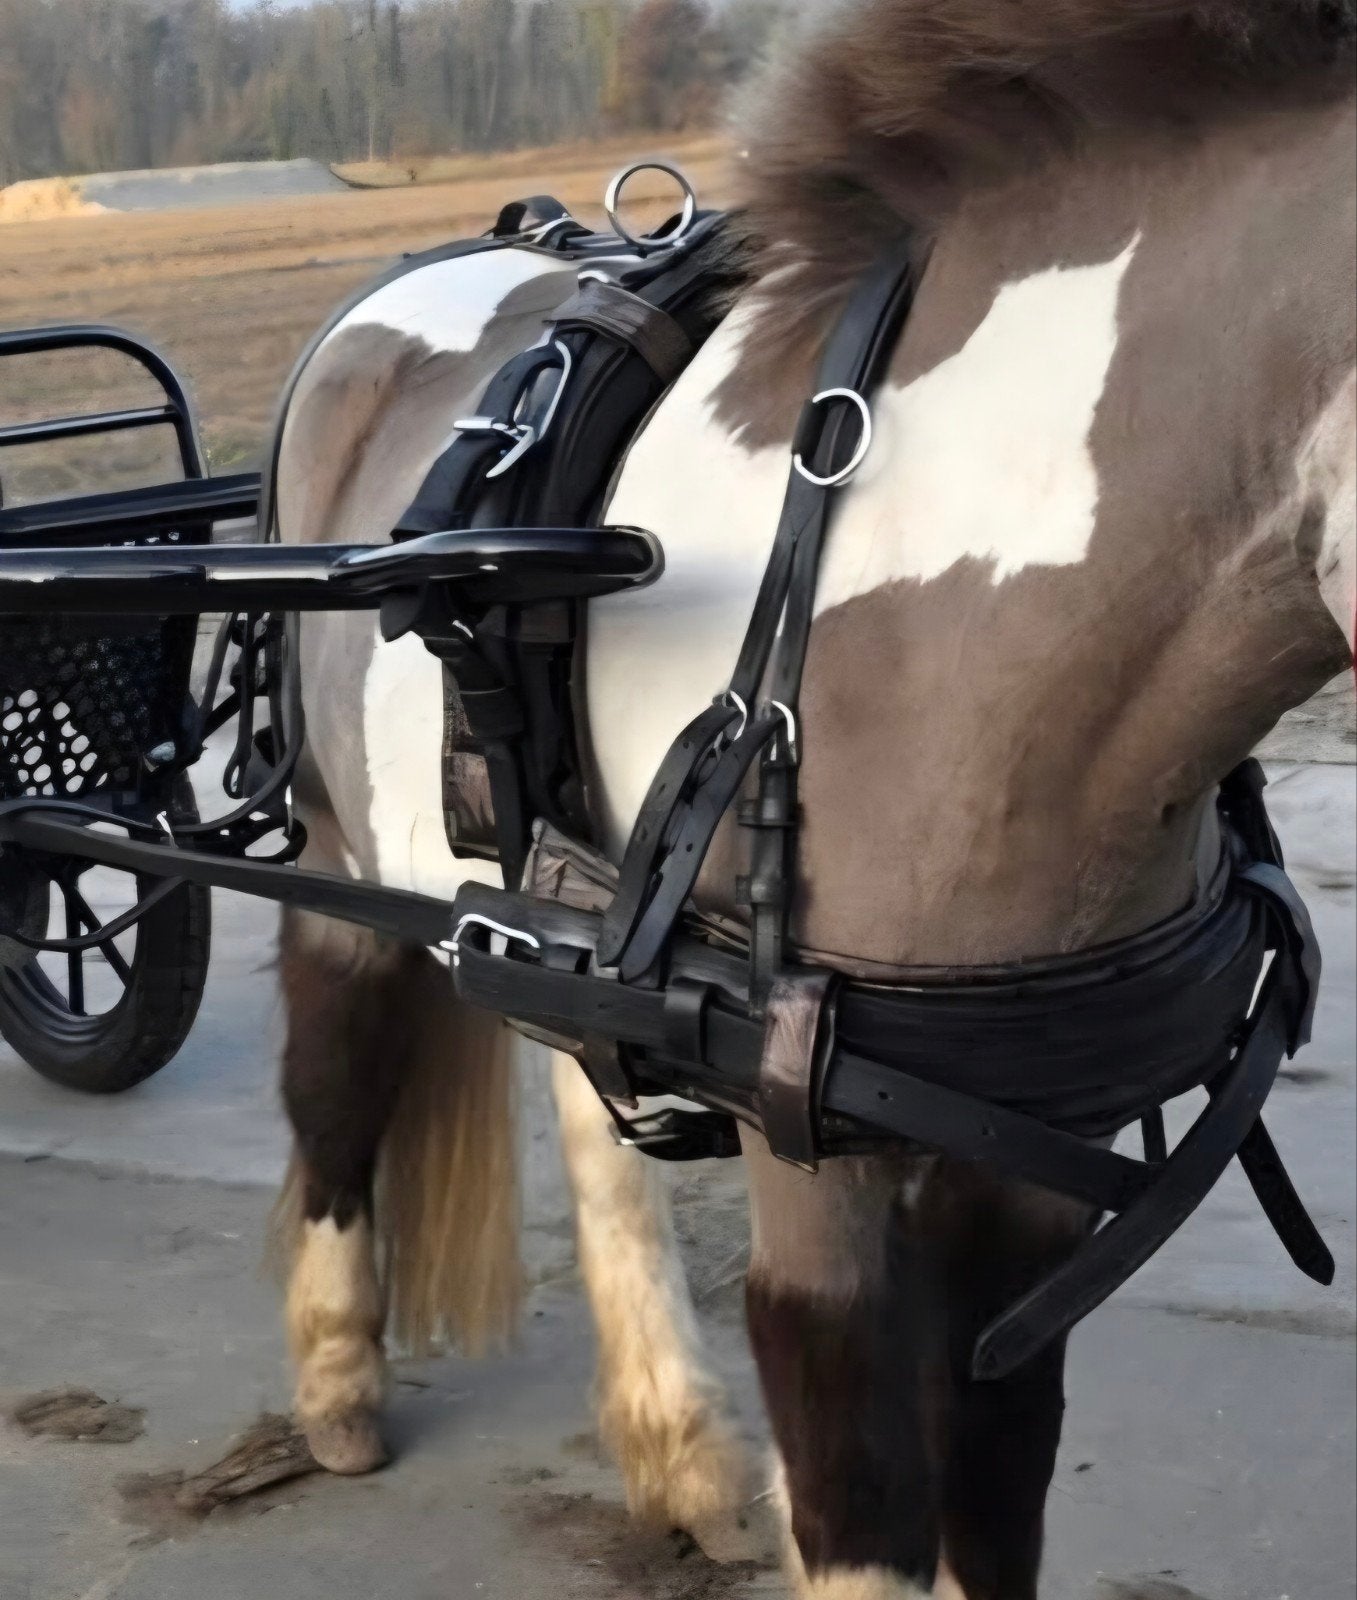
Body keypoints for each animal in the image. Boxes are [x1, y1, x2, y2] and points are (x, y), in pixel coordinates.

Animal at [269, 2, 1356, 1595]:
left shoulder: (1032, 1153)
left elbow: (997, 1485)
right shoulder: (805, 1147)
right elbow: (860, 1496)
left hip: (569, 916)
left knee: (587, 1107)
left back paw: (677, 1447)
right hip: (341, 844)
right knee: (336, 1064)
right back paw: (340, 1375)